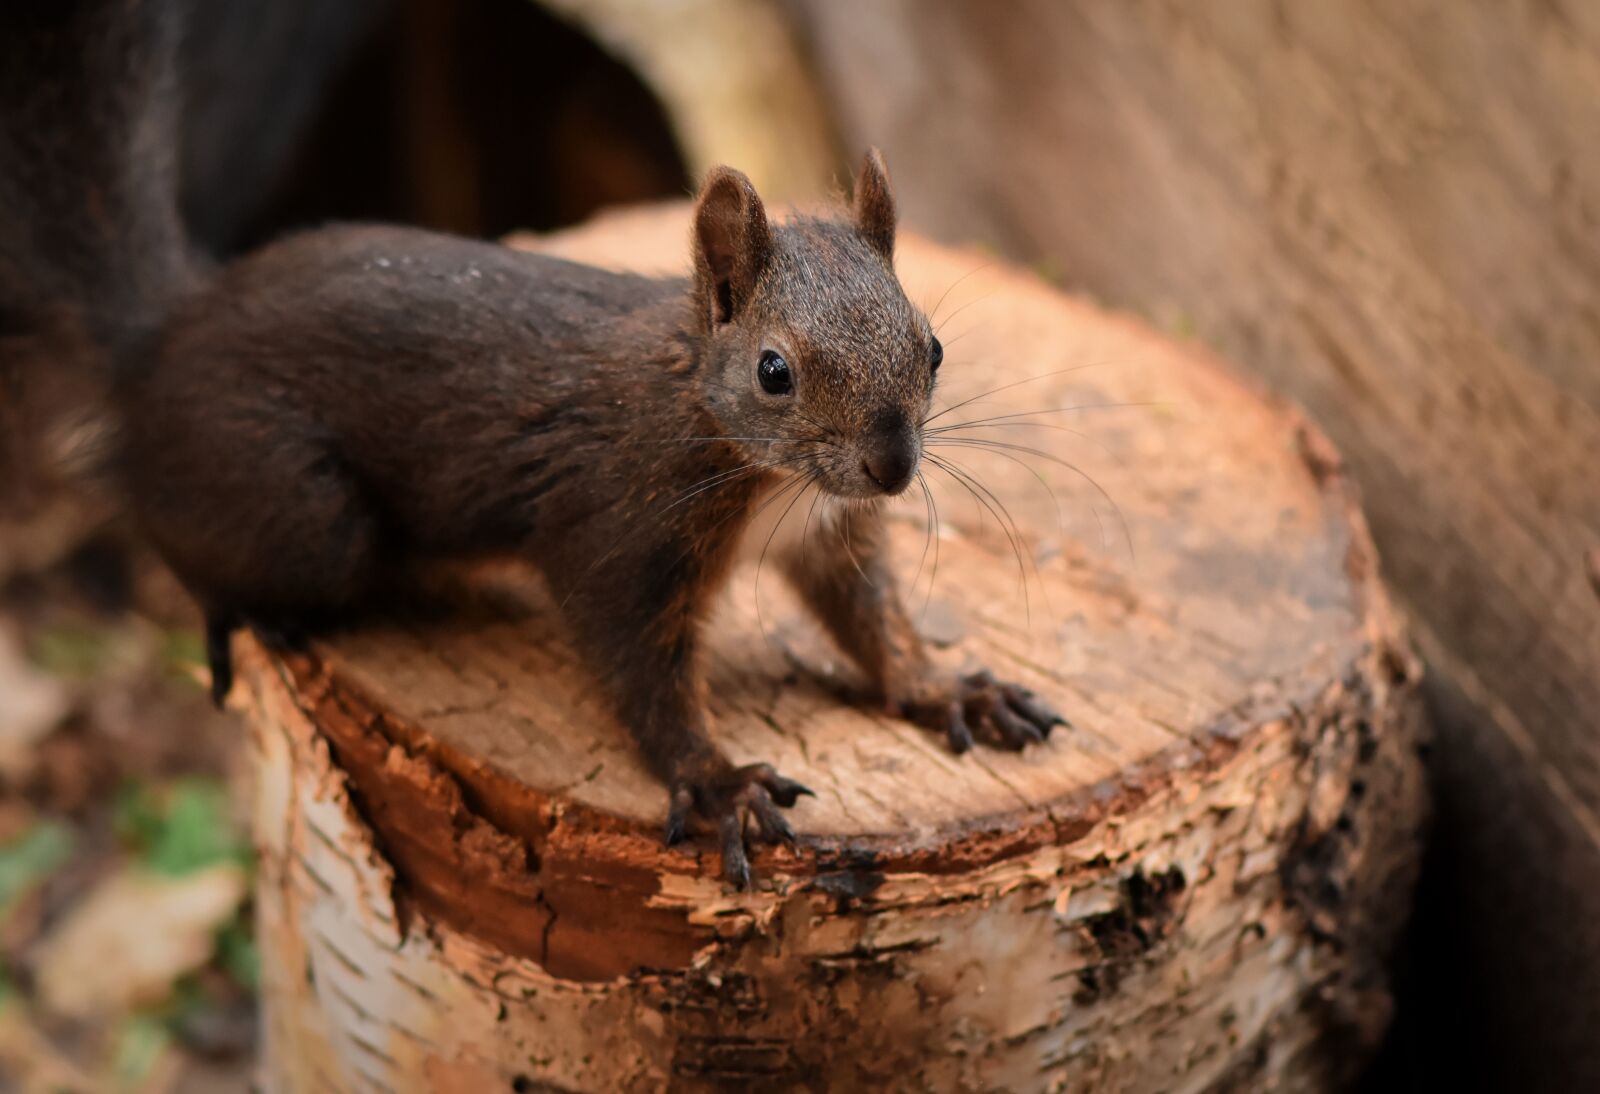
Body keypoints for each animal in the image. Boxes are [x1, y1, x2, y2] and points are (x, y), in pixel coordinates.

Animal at [5, 1, 1064, 887]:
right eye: (774, 371)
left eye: (933, 346)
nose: (892, 467)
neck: (756, 469)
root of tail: (163, 337)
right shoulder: (614, 526)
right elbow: (639, 668)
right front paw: (718, 780)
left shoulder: (827, 533)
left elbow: (872, 621)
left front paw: (944, 689)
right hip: (302, 509)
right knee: (179, 527)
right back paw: (237, 610)